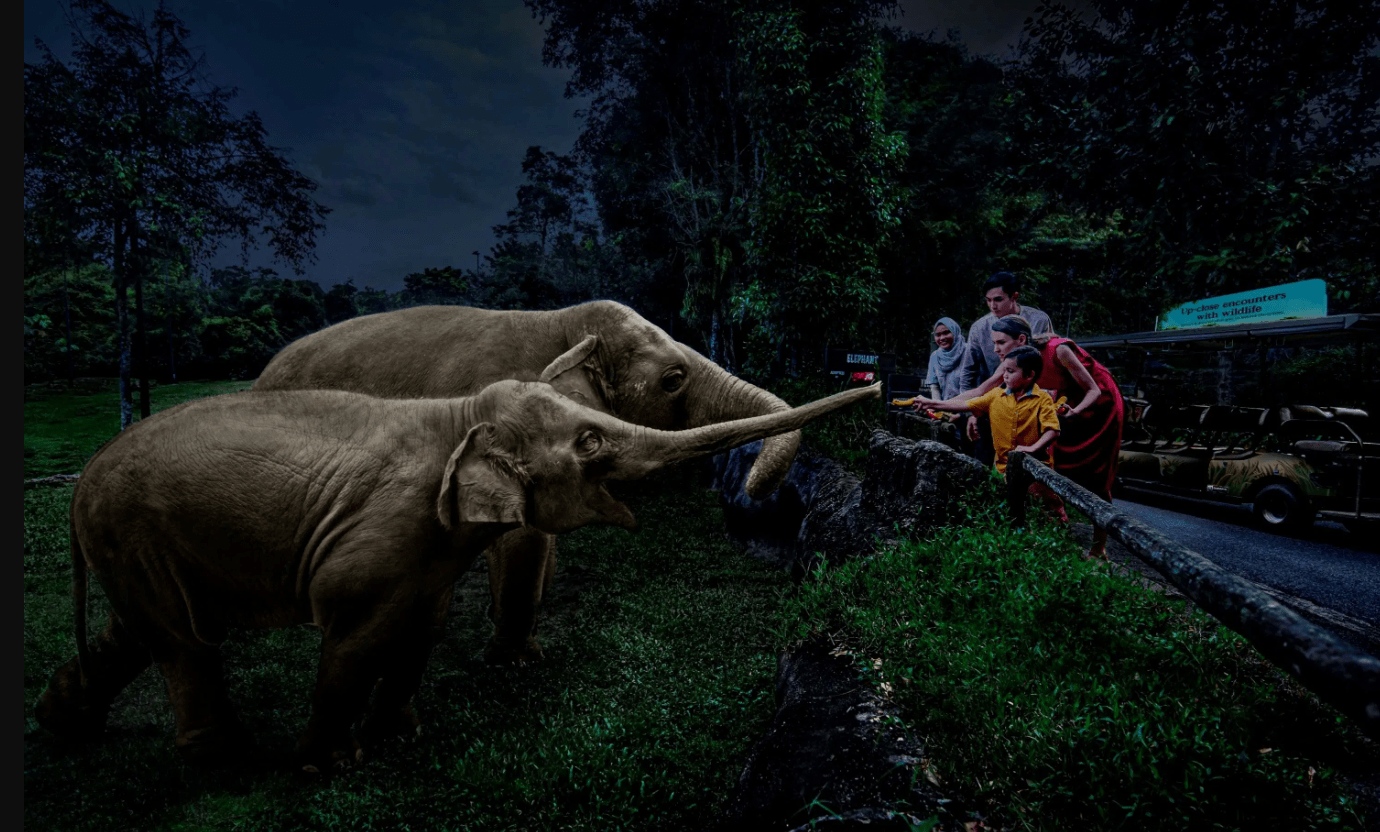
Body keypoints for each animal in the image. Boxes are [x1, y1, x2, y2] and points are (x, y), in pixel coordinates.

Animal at [35, 378, 883, 772]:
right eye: (590, 440)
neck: (457, 413)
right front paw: (327, 766)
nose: (874, 387)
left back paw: (59, 727)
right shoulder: (382, 532)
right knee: (183, 641)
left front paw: (396, 740)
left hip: (134, 543)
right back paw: (229, 763)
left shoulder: (428, 549)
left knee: (142, 632)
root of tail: (77, 487)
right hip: (133, 531)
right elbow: (354, 631)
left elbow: (422, 626)